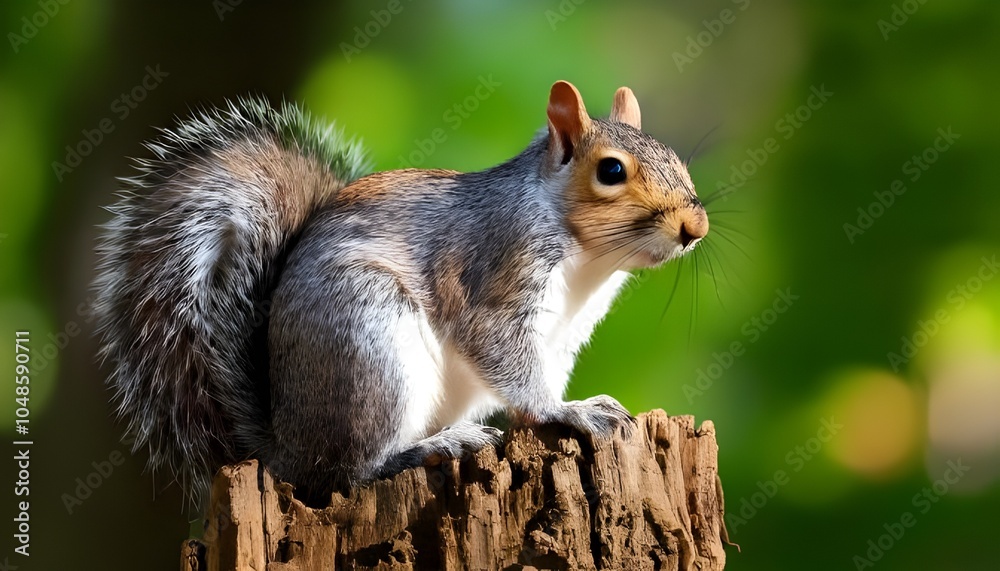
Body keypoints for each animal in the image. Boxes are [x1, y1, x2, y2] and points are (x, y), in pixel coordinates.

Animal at [93, 80, 709, 508]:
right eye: (611, 171)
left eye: (679, 160)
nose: (695, 228)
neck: (588, 260)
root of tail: (286, 452)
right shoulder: (495, 270)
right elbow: (505, 354)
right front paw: (566, 410)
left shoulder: (564, 334)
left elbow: (540, 373)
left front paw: (565, 409)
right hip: (372, 346)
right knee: (348, 475)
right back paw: (429, 448)